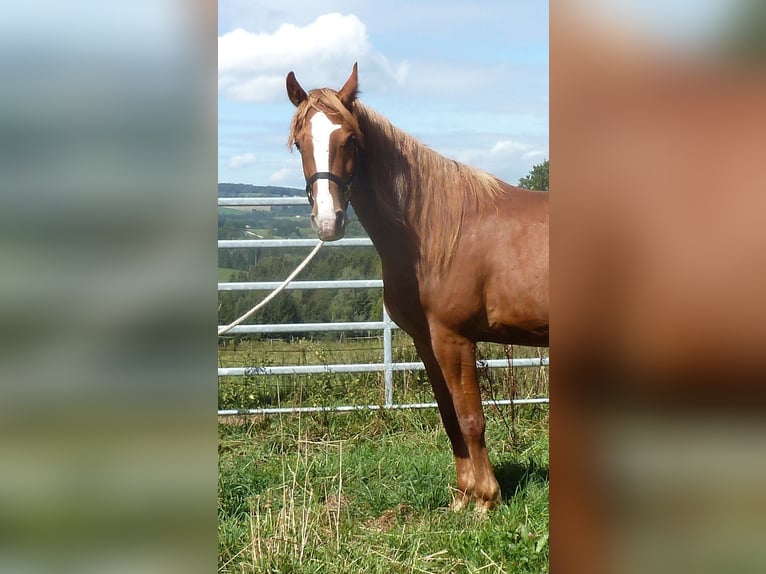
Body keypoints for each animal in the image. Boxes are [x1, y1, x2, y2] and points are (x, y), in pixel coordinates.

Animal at [286, 63, 549, 512]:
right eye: (301, 141)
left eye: (349, 138)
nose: (329, 221)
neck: (433, 231)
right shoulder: (426, 341)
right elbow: (448, 416)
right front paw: (463, 497)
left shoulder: (454, 339)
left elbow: (471, 418)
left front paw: (486, 499)